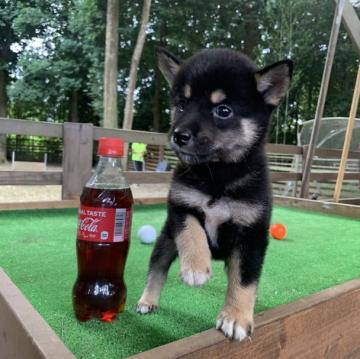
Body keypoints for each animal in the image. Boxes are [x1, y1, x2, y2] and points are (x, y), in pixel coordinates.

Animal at [136, 47, 292, 344]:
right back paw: (147, 300)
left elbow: (245, 280)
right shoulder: (181, 205)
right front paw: (196, 267)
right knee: (156, 269)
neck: (217, 174)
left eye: (223, 110)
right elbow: (193, 231)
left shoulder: (252, 235)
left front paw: (236, 317)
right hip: (165, 240)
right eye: (181, 104)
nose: (178, 135)